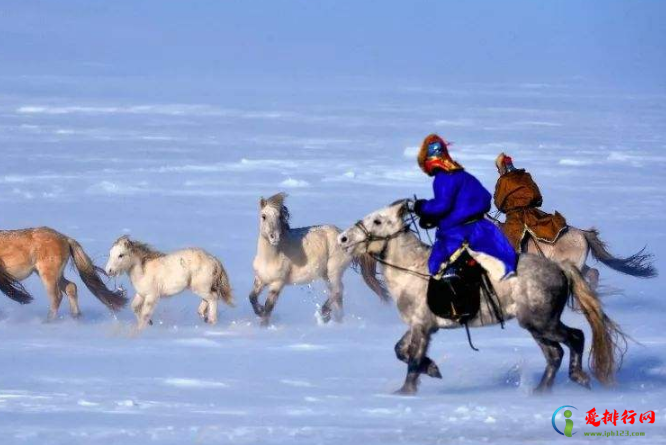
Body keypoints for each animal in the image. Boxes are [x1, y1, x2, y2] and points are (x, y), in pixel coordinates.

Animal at [248, 193, 384, 324]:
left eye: (279, 217)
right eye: (263, 216)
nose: (274, 237)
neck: (270, 257)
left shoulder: (277, 284)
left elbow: (268, 307)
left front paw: (263, 323)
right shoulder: (260, 280)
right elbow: (252, 298)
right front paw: (259, 311)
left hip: (334, 271)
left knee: (338, 290)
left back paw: (325, 313)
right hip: (326, 275)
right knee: (337, 295)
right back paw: (336, 320)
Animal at [340, 199, 624, 394]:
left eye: (378, 221)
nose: (343, 238)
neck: (412, 267)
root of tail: (560, 267)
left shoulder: (422, 325)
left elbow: (412, 359)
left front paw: (405, 391)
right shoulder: (421, 325)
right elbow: (401, 350)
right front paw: (432, 369)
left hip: (542, 323)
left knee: (575, 338)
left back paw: (578, 377)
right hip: (535, 325)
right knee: (555, 354)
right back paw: (541, 391)